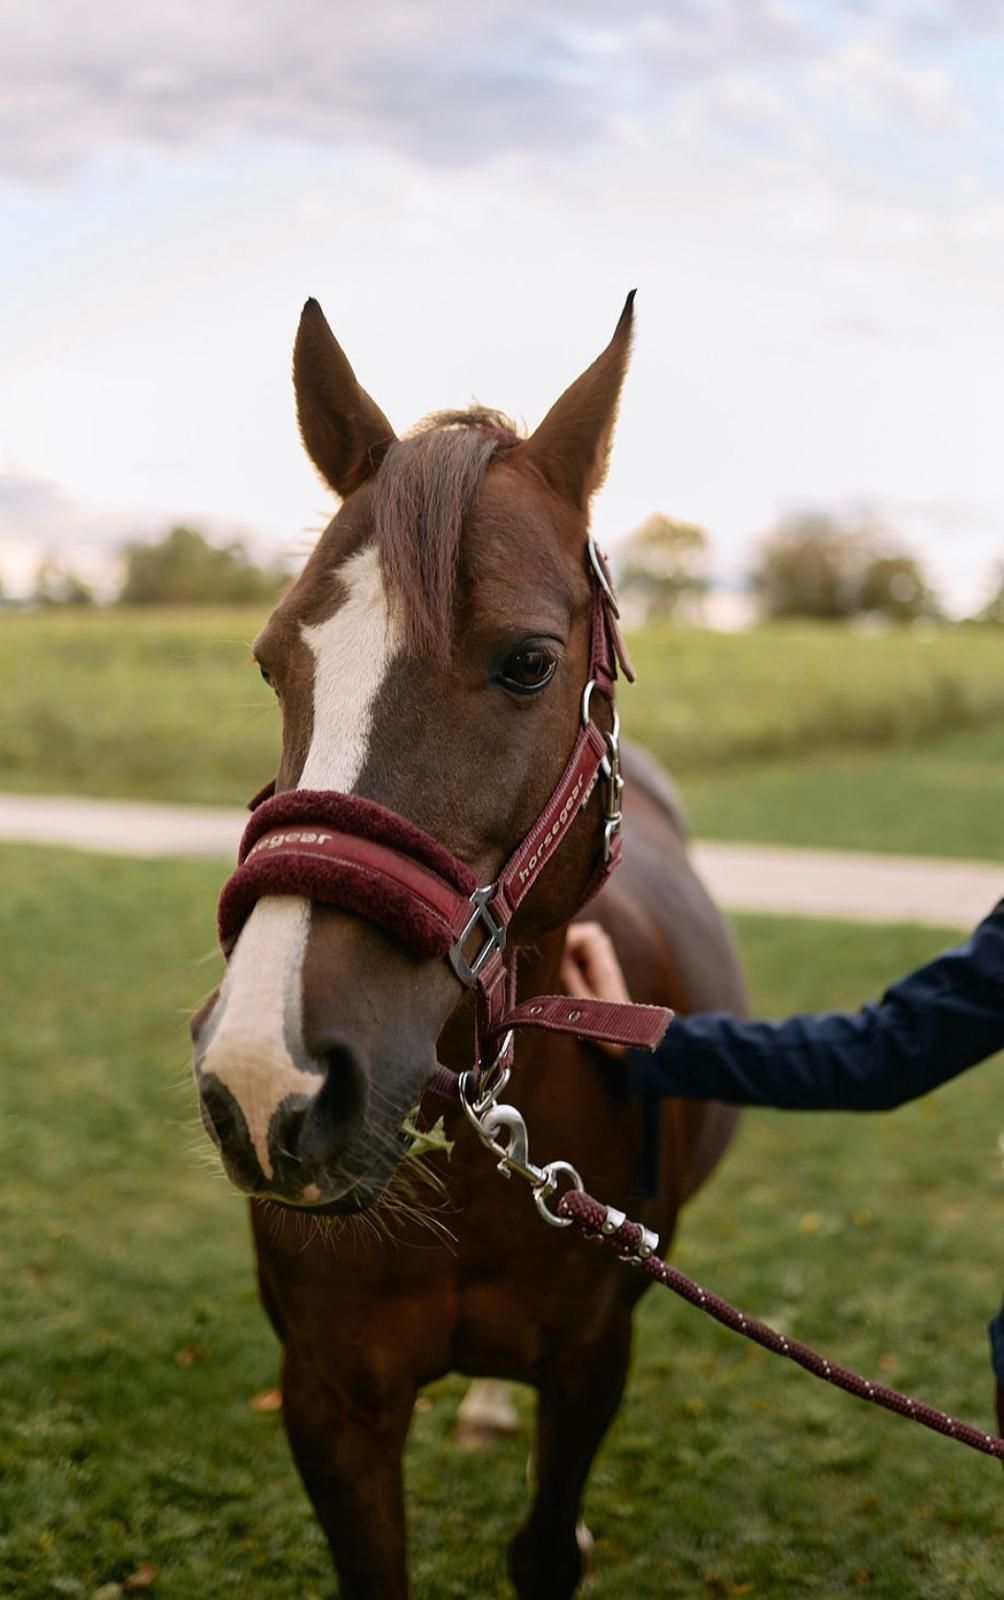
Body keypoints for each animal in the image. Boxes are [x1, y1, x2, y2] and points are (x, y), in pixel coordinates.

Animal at [190, 294, 747, 1600]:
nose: (265, 1078)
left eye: (528, 660)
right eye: (272, 661)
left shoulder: (592, 1366)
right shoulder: (330, 1400)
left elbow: (545, 1547)